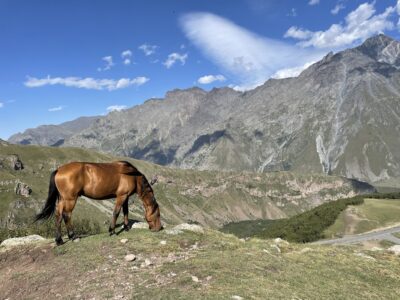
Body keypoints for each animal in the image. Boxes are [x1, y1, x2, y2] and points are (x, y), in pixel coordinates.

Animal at [34, 161, 162, 245]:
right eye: (158, 214)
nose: (159, 228)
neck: (132, 176)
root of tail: (59, 170)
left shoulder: (125, 197)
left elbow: (125, 211)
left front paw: (126, 227)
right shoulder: (121, 196)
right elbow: (116, 212)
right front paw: (112, 231)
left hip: (62, 199)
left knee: (58, 215)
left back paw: (59, 240)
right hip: (70, 199)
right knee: (67, 215)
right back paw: (73, 236)